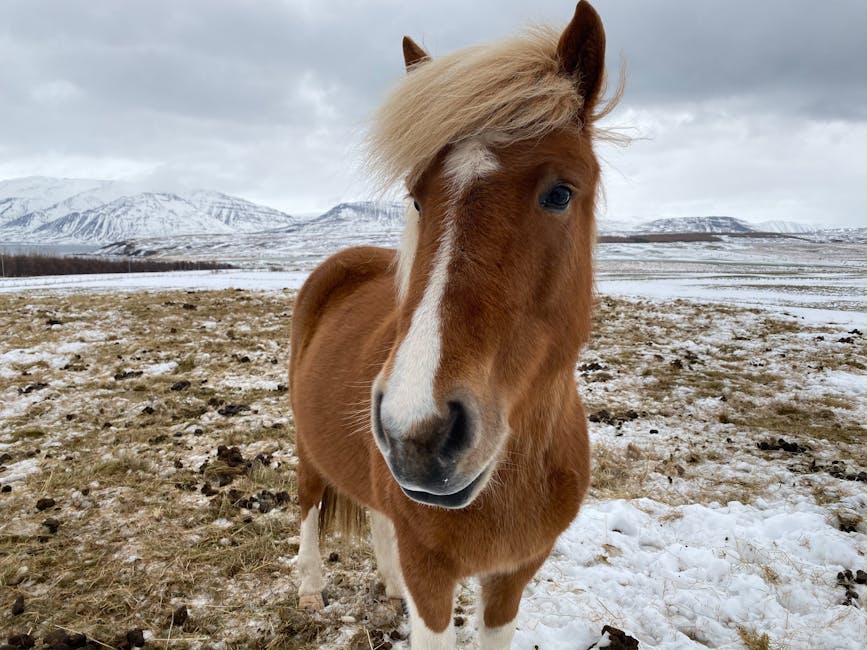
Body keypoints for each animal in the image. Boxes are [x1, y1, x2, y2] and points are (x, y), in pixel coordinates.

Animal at [290, 2, 612, 644]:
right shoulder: (433, 575)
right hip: (308, 449)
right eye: (417, 197)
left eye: (561, 193)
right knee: (309, 505)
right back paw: (311, 591)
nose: (418, 433)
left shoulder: (513, 577)